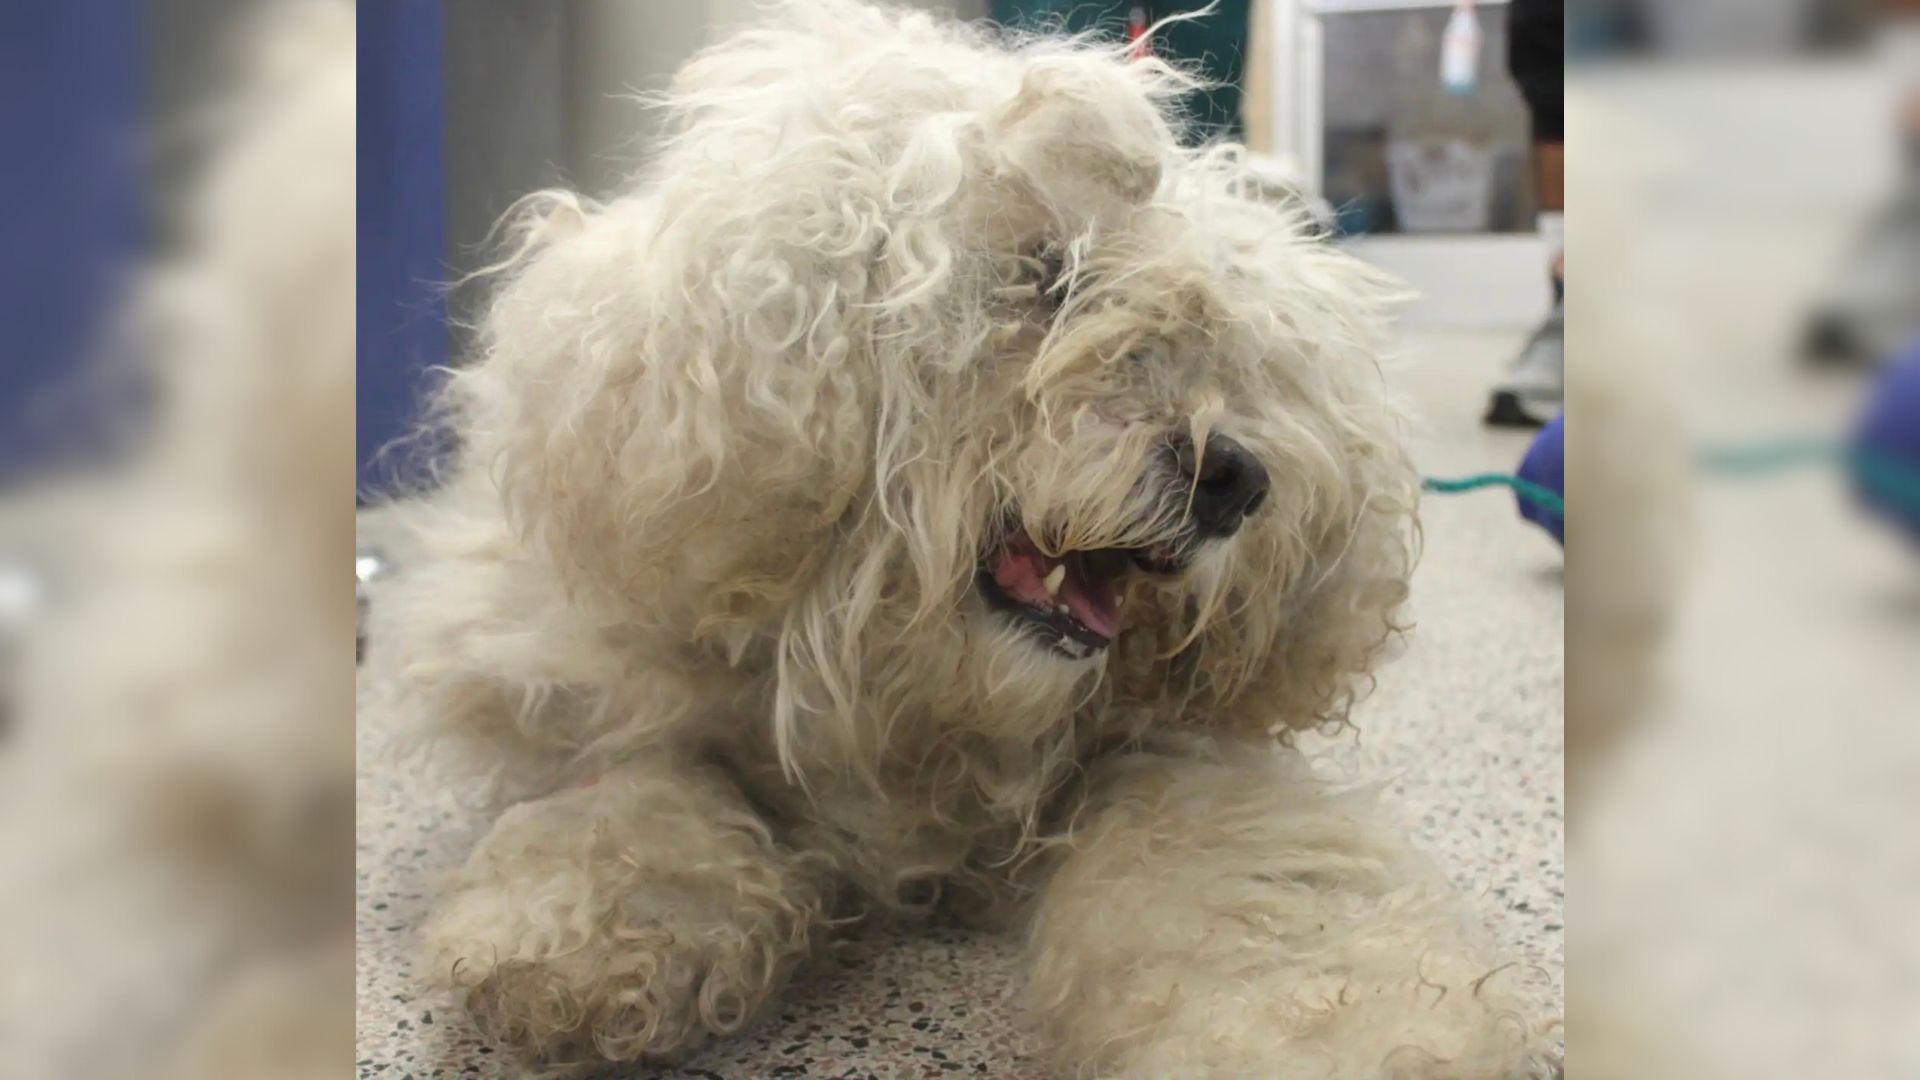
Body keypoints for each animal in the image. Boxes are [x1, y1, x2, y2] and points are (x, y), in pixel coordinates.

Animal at [378, 4, 1559, 1068]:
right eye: (1052, 273)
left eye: (1236, 343)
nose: (1235, 478)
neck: (912, 722)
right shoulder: (610, 679)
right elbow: (639, 783)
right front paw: (594, 931)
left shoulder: (1163, 764)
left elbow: (1245, 898)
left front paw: (1339, 1032)